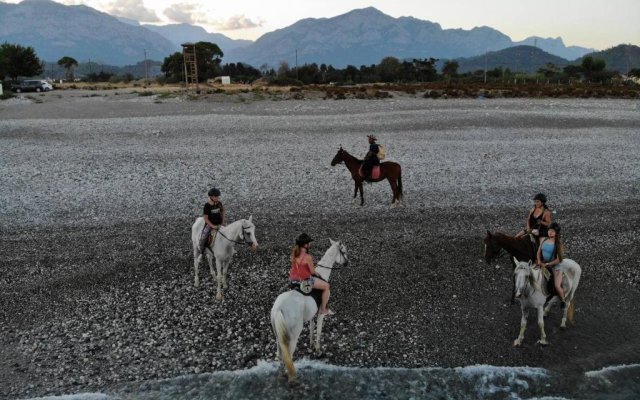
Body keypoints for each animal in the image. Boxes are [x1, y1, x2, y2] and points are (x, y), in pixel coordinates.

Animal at [270, 239, 350, 382]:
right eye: (344, 251)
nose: (347, 263)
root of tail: (279, 308)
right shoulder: (320, 313)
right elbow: (318, 331)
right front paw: (318, 350)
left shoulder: (313, 314)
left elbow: (312, 329)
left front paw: (311, 345)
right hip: (293, 336)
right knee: (289, 357)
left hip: (278, 337)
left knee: (280, 356)